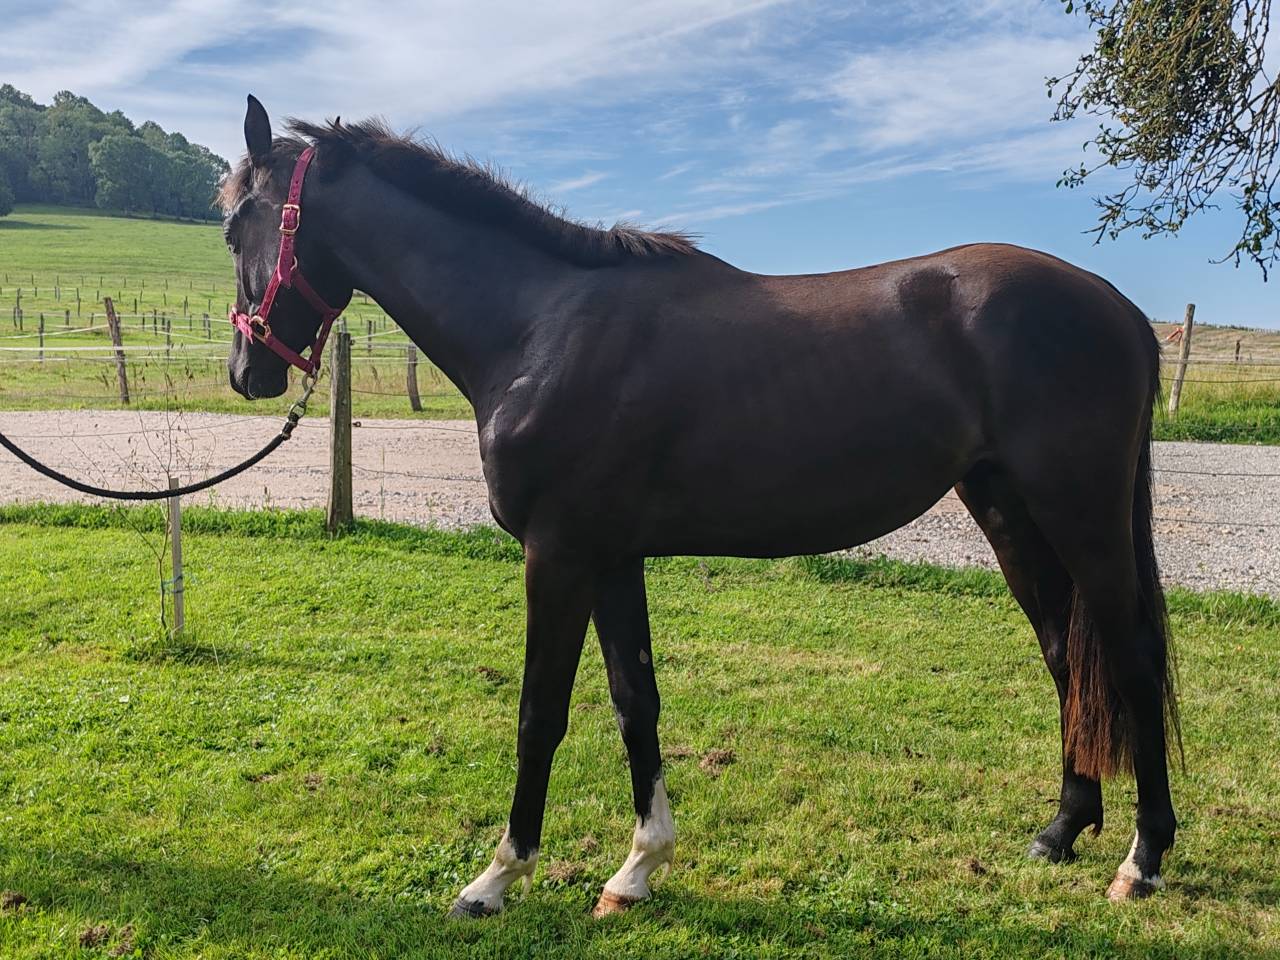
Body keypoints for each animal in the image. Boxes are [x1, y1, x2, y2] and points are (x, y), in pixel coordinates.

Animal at [222, 95, 1180, 917]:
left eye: (236, 223)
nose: (247, 371)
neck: (539, 327)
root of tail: (1122, 310)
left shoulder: (558, 554)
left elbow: (540, 712)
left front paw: (496, 878)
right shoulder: (611, 556)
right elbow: (632, 700)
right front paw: (637, 868)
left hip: (1084, 515)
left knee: (1129, 660)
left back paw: (1142, 860)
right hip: (1010, 512)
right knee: (1067, 656)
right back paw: (1062, 830)